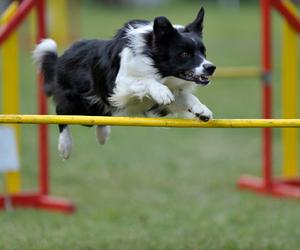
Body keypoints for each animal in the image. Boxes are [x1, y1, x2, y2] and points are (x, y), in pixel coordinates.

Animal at [32, 8, 216, 160]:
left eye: (203, 52)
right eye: (185, 53)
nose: (211, 68)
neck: (153, 62)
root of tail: (62, 57)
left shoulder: (159, 101)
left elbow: (185, 96)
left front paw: (202, 110)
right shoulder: (119, 86)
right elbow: (145, 81)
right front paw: (161, 91)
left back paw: (103, 134)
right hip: (77, 104)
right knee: (61, 113)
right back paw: (65, 146)